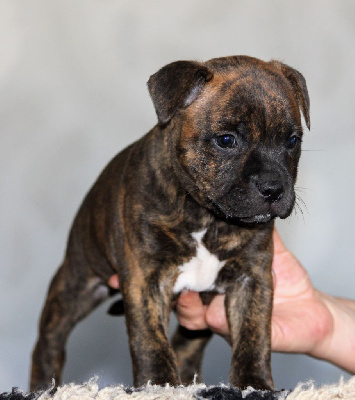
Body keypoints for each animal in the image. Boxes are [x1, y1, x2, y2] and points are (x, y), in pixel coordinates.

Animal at [30, 56, 310, 390]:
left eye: (292, 141)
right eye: (226, 140)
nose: (273, 188)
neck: (206, 216)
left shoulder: (252, 278)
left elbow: (253, 336)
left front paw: (254, 385)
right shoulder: (146, 278)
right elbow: (150, 339)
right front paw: (158, 384)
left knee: (186, 345)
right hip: (77, 282)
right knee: (50, 339)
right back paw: (44, 385)